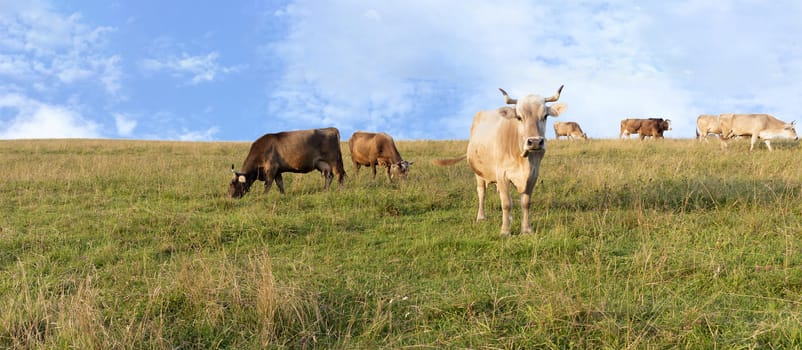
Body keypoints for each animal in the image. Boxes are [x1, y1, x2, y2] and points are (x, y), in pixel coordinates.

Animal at [434, 86, 564, 237]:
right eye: (519, 117)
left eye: (545, 116)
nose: (535, 142)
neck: (523, 159)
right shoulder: (502, 174)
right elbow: (506, 203)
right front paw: (505, 231)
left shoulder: (533, 174)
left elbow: (525, 203)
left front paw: (526, 230)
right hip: (479, 173)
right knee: (482, 193)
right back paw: (481, 217)